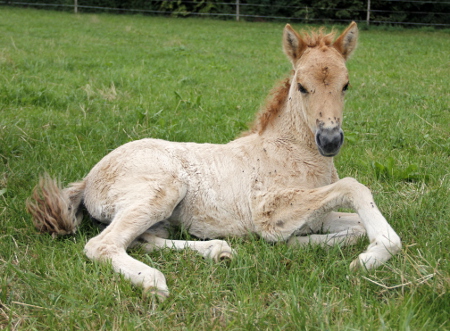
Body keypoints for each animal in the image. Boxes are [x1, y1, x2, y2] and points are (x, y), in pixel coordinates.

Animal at [27, 22, 400, 300]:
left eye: (346, 85)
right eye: (302, 86)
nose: (330, 140)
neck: (293, 152)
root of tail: (88, 179)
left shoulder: (315, 214)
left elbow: (354, 226)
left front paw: (302, 244)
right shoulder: (268, 210)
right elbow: (354, 188)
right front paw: (373, 255)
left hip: (158, 215)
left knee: (140, 240)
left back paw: (218, 250)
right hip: (162, 190)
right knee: (102, 244)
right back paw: (153, 282)